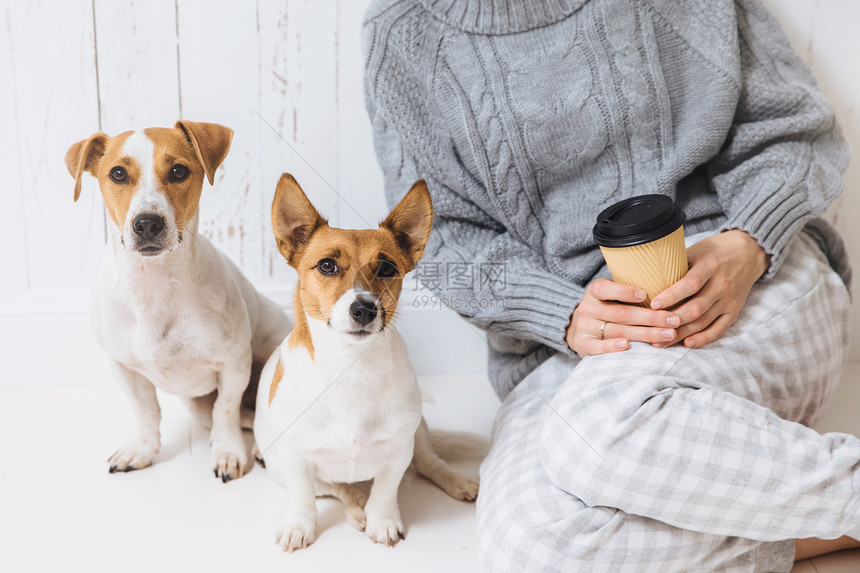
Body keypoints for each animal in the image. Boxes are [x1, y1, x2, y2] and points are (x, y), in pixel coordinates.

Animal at [64, 122, 292, 482]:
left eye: (178, 171)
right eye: (117, 174)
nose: (147, 223)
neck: (153, 286)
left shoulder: (233, 364)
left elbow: (225, 409)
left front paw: (228, 452)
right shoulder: (124, 369)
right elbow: (146, 412)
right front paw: (141, 449)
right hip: (196, 405)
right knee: (245, 416)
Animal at [255, 173, 480, 548]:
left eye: (387, 267)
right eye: (327, 265)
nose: (364, 309)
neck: (352, 367)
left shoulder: (399, 451)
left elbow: (386, 492)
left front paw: (383, 521)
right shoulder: (295, 460)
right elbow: (303, 496)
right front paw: (300, 525)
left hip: (418, 432)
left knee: (429, 462)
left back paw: (455, 480)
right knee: (338, 489)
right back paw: (356, 505)